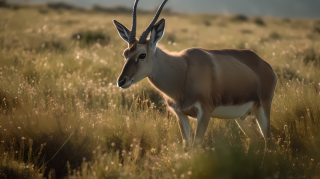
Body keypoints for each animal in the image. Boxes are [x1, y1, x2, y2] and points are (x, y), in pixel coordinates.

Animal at [113, 0, 278, 155]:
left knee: (269, 142)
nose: (121, 81)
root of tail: (266, 66)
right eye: (126, 53)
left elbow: (197, 147)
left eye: (142, 55)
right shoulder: (181, 115)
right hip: (242, 116)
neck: (183, 73)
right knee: (256, 138)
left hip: (262, 108)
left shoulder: (204, 112)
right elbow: (187, 148)